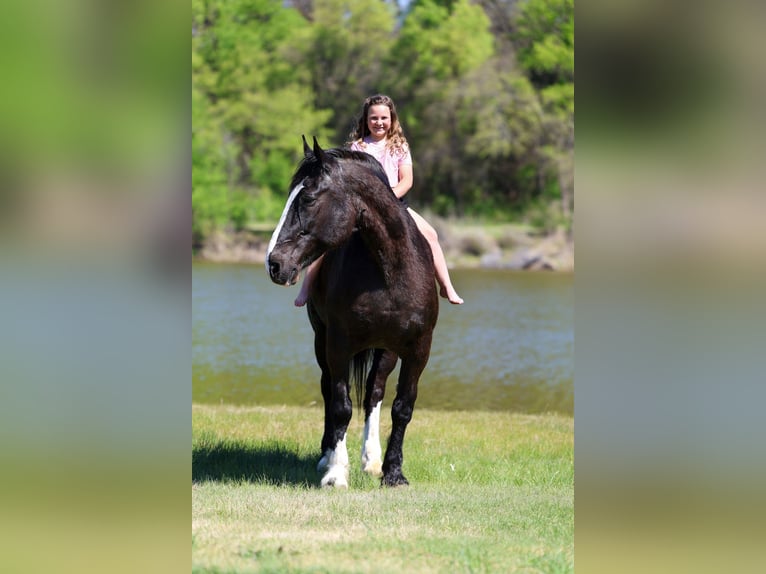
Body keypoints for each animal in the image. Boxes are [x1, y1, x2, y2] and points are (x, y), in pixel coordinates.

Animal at [266, 137, 439, 488]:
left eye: (308, 198)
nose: (274, 263)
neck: (389, 273)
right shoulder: (338, 344)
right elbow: (340, 406)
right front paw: (335, 472)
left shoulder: (417, 348)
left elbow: (402, 407)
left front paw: (393, 472)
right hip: (322, 342)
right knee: (328, 390)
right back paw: (327, 456)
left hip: (386, 351)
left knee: (374, 393)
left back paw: (371, 460)